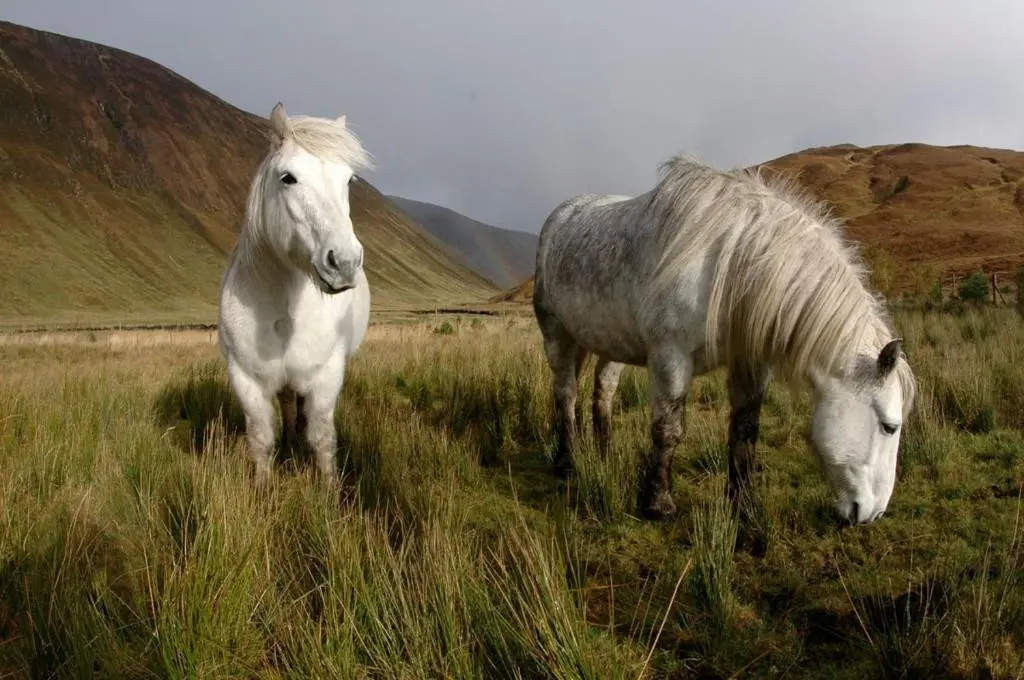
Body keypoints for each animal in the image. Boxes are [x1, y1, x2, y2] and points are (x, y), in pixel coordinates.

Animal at [218, 102, 374, 485]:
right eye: (288, 177)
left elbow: (322, 439)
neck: (286, 307)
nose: (344, 262)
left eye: (349, 180)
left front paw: (329, 492)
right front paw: (262, 488)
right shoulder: (246, 380)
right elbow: (261, 439)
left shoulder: (326, 377)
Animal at [532, 154, 916, 525]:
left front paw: (742, 504)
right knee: (565, 394)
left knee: (604, 392)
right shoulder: (670, 358)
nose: (874, 514)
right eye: (890, 427)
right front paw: (659, 505)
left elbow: (745, 431)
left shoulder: (750, 362)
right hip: (557, 336)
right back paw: (566, 464)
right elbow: (668, 429)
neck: (729, 264)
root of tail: (561, 215)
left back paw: (605, 456)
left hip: (610, 345)